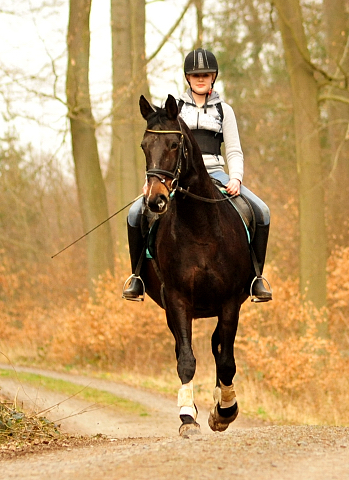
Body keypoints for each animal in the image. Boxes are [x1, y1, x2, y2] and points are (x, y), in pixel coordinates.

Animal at [138, 94, 250, 436]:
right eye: (144, 146)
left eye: (175, 144)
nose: (155, 200)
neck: (200, 228)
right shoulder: (177, 300)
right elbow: (185, 359)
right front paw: (188, 417)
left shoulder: (229, 302)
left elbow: (226, 361)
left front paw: (225, 411)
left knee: (219, 348)